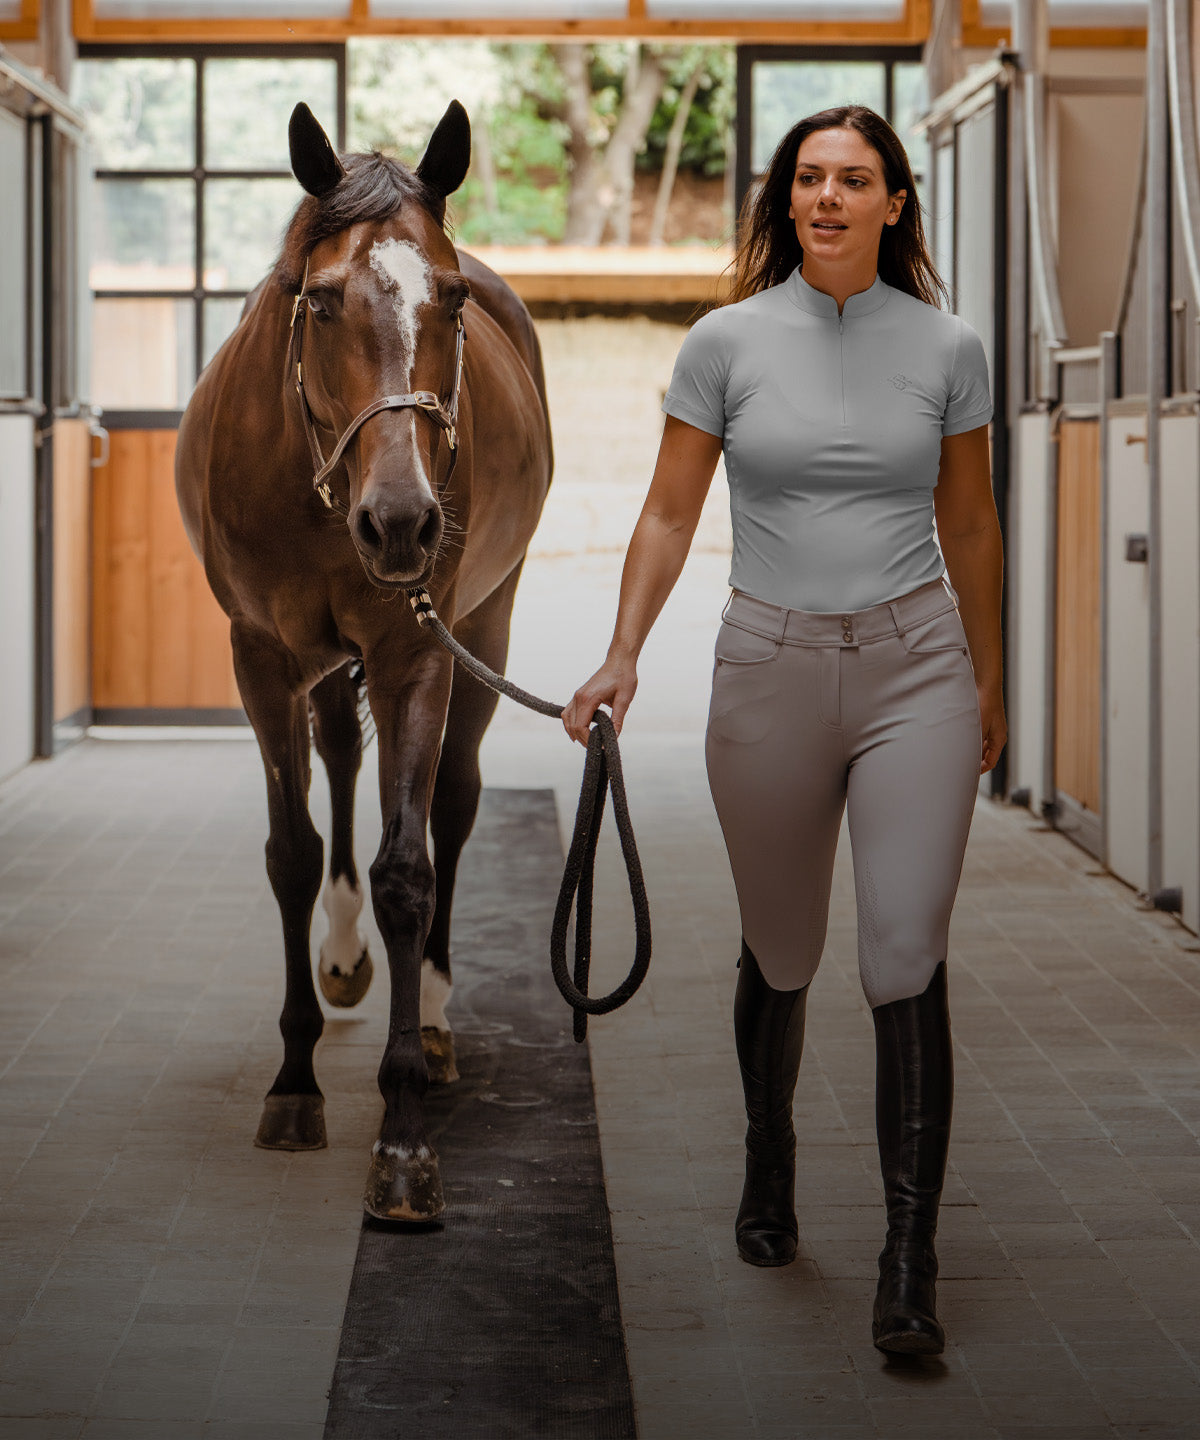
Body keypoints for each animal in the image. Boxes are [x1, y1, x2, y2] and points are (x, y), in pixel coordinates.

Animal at [175, 100, 553, 1222]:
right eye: (322, 300)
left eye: (453, 301)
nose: (401, 523)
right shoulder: (260, 659)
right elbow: (294, 853)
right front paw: (295, 1084)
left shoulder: (414, 653)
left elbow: (406, 866)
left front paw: (402, 1133)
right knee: (341, 756)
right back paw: (342, 957)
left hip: (484, 627)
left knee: (455, 801)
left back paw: (429, 1008)